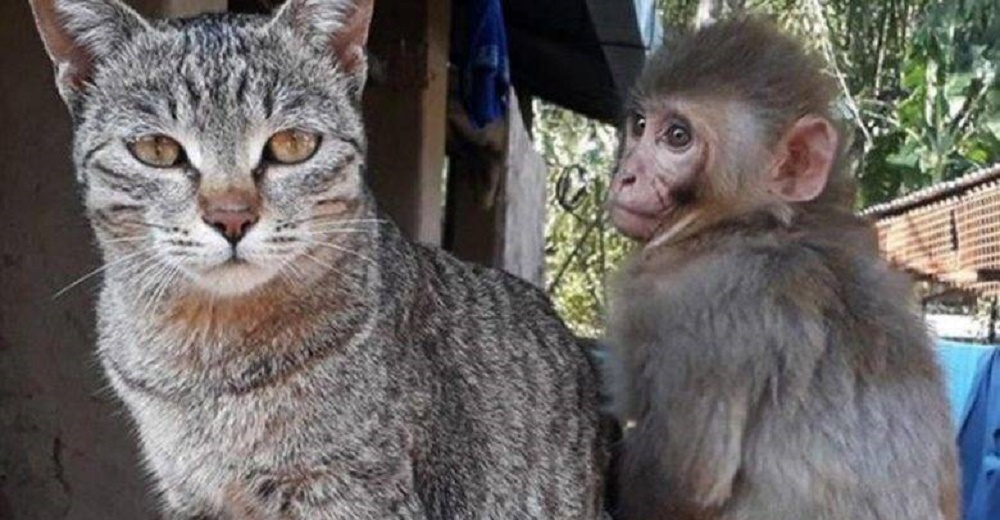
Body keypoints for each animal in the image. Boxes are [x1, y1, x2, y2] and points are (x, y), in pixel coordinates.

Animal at [29, 0, 608, 516]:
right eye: (156, 150)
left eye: (292, 144)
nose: (231, 217)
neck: (208, 356)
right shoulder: (192, 496)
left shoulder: (357, 493)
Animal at [608, 16, 960, 520]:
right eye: (640, 126)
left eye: (676, 136)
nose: (626, 175)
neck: (763, 224)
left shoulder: (694, 298)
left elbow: (688, 480)